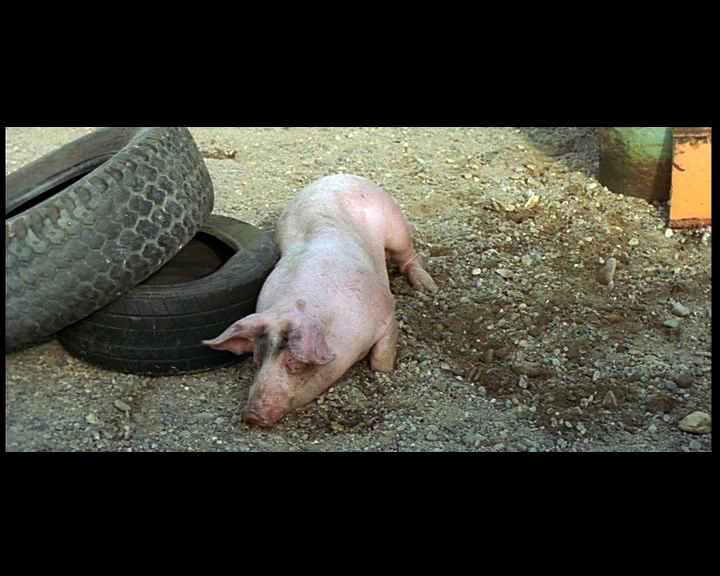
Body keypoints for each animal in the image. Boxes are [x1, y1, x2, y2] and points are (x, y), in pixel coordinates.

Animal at [203, 174, 438, 427]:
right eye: (257, 360)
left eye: (295, 364)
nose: (251, 416)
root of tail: (340, 176)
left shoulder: (387, 315)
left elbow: (380, 362)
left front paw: (386, 368)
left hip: (396, 227)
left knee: (409, 257)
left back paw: (428, 286)